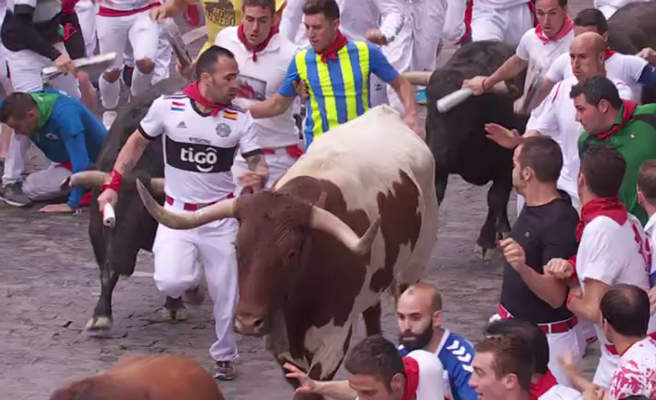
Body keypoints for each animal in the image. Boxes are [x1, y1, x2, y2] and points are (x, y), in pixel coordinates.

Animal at [136, 104, 438, 396]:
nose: (248, 321)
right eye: (237, 247)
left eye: (291, 253)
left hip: (414, 265)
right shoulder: (281, 343)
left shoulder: (333, 339)